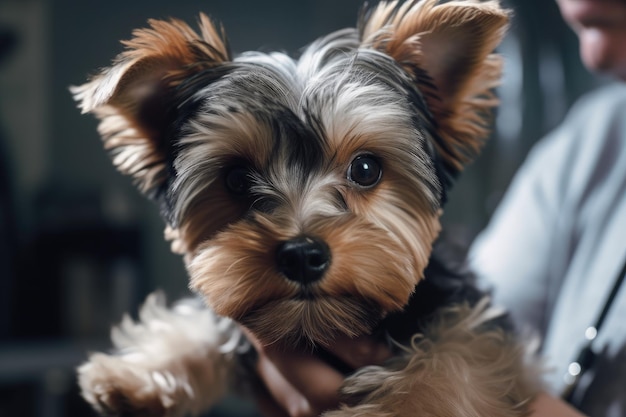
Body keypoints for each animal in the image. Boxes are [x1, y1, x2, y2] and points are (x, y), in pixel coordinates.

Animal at [70, 1, 540, 414]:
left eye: (365, 168)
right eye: (236, 179)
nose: (301, 255)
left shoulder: (467, 314)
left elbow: (458, 355)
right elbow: (210, 319)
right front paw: (142, 373)